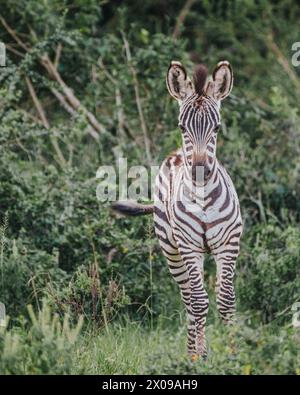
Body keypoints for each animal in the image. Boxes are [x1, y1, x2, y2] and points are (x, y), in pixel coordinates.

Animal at [111, 60, 243, 360]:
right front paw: (201, 358)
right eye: (182, 126)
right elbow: (199, 302)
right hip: (172, 250)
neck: (203, 197)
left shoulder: (228, 245)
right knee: (189, 299)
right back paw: (193, 354)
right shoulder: (189, 246)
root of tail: (175, 154)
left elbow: (226, 300)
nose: (199, 170)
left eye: (217, 128)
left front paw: (235, 356)